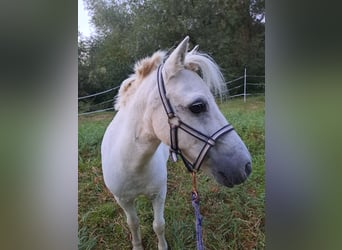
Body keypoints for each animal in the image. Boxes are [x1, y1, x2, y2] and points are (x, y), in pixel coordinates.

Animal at [101, 36, 251, 249]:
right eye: (197, 106)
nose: (246, 166)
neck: (132, 164)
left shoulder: (159, 194)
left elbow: (158, 225)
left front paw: (162, 246)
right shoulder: (123, 200)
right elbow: (133, 223)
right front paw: (137, 245)